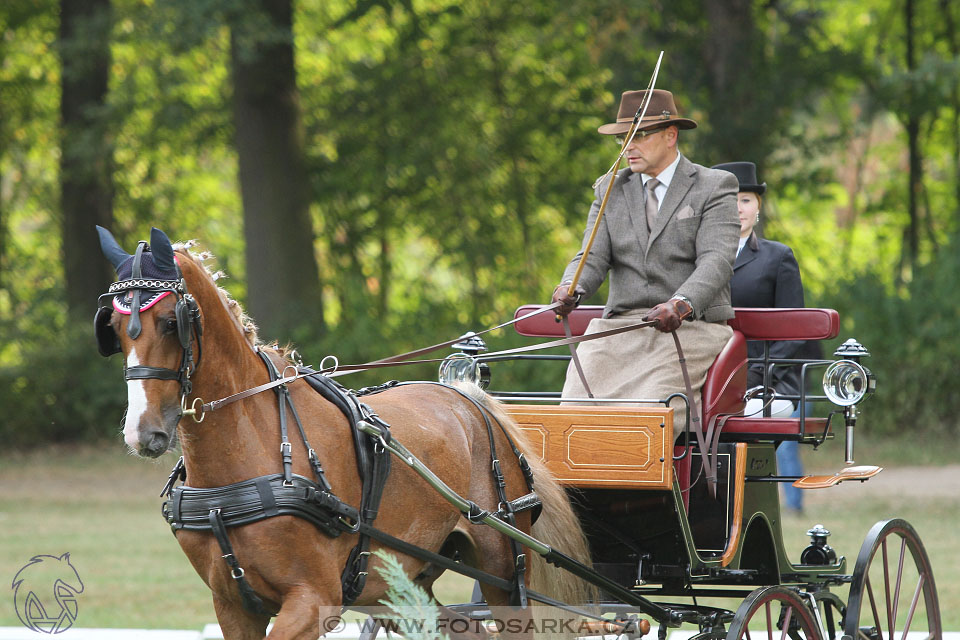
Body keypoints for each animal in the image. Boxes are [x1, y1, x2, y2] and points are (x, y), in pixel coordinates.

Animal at [97, 228, 592, 636]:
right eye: (115, 330)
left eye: (170, 323)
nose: (143, 433)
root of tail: (468, 396)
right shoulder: (233, 607)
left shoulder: (314, 601)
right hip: (394, 587)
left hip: (505, 574)